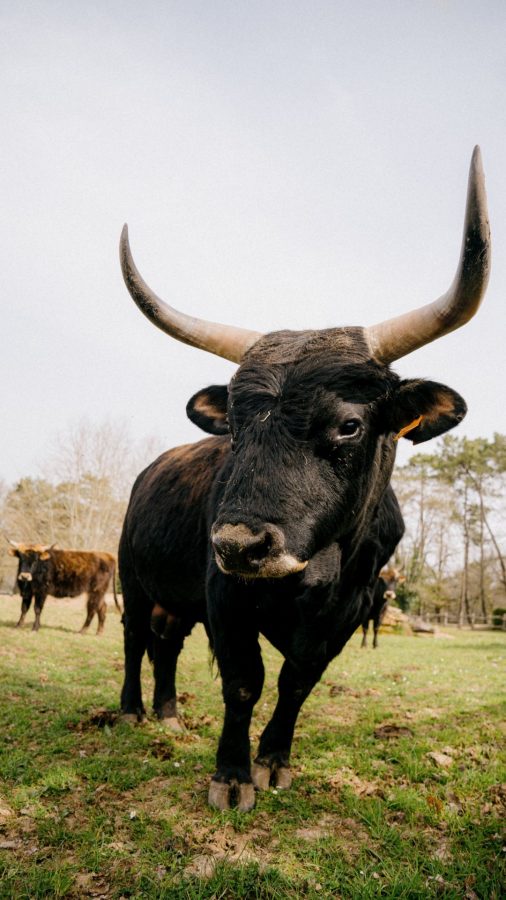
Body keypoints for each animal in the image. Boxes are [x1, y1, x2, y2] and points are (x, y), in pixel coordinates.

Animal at [118, 147, 490, 811]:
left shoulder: (348, 612)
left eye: (349, 424)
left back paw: (168, 712)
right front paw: (232, 776)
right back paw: (134, 710)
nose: (240, 544)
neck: (320, 567)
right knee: (138, 637)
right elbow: (244, 682)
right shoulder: (225, 594)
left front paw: (273, 762)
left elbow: (297, 683)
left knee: (167, 640)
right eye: (236, 425)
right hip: (132, 578)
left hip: (175, 594)